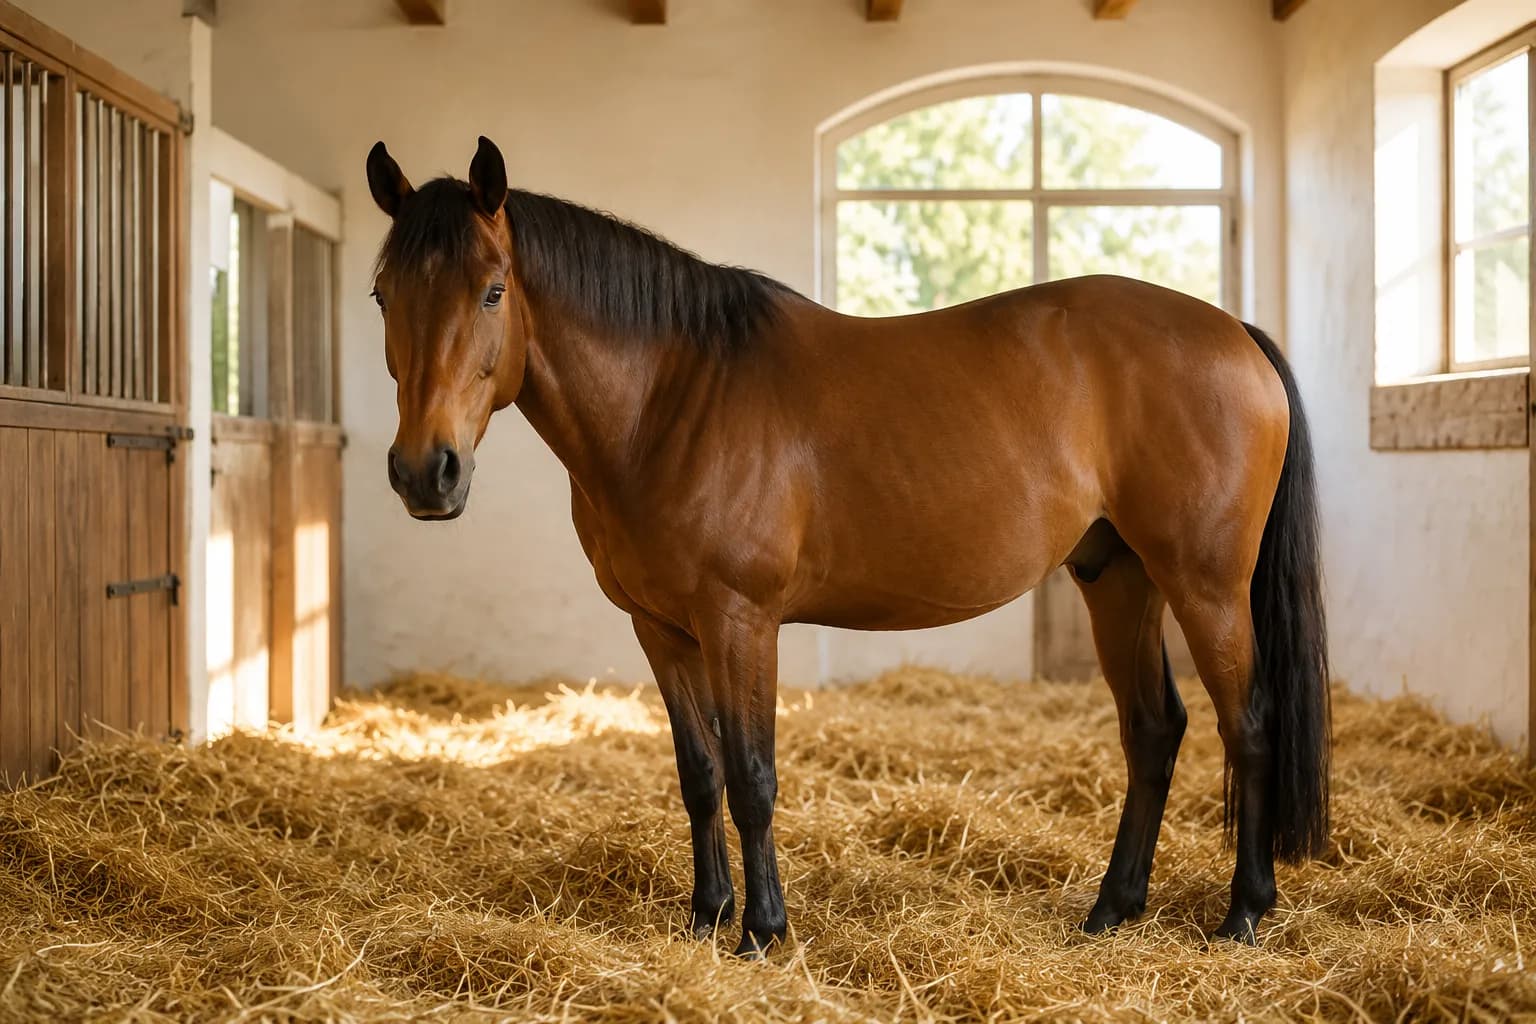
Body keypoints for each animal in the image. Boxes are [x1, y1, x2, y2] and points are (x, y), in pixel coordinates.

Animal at [365, 136, 1330, 957]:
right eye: (382, 294)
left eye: (493, 289)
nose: (424, 473)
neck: (673, 397)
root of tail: (1236, 334)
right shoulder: (661, 630)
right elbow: (698, 774)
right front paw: (704, 918)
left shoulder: (740, 621)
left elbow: (752, 777)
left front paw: (761, 932)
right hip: (1117, 576)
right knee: (1153, 730)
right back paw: (1112, 909)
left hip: (1205, 585)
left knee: (1247, 725)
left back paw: (1243, 913)